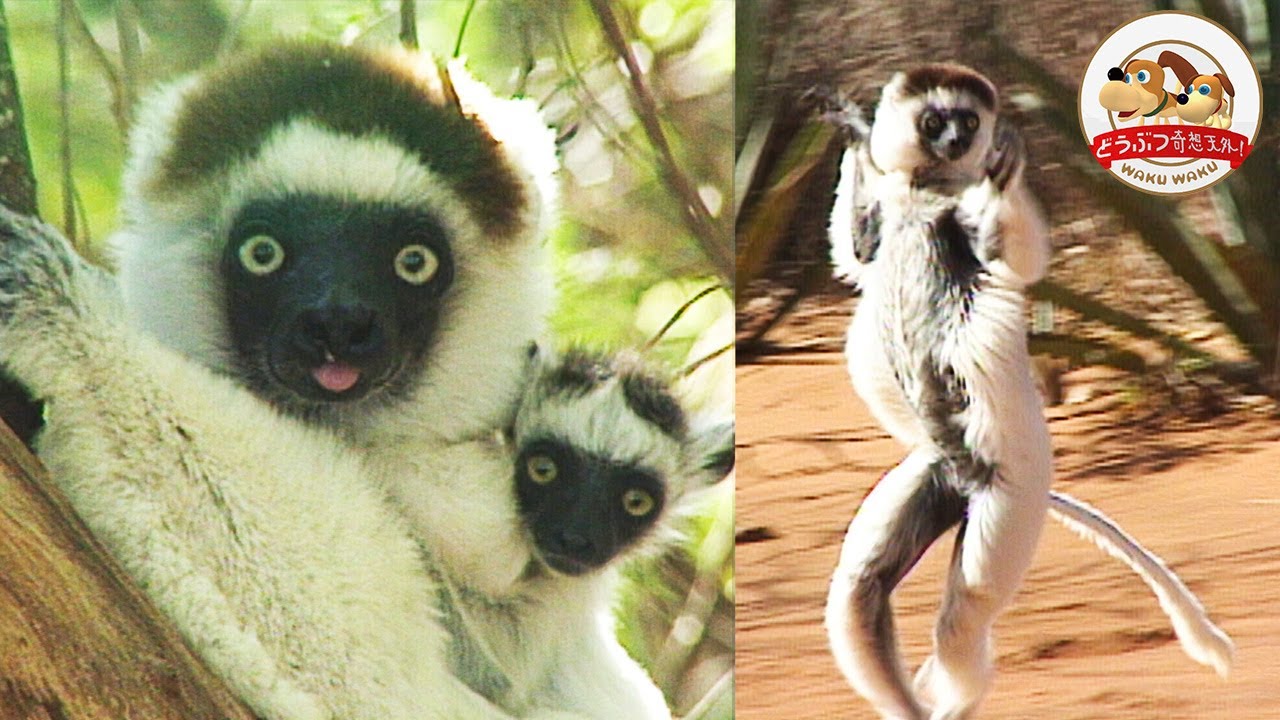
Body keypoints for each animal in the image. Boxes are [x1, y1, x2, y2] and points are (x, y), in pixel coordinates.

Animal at [823, 64, 1231, 720]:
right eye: (935, 121)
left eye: (968, 121)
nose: (957, 142)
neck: (928, 191)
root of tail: (966, 479)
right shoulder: (891, 208)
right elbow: (859, 249)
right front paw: (854, 134)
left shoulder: (957, 221)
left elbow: (1015, 258)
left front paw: (1003, 175)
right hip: (933, 474)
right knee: (862, 589)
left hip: (1010, 499)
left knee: (964, 613)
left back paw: (956, 696)